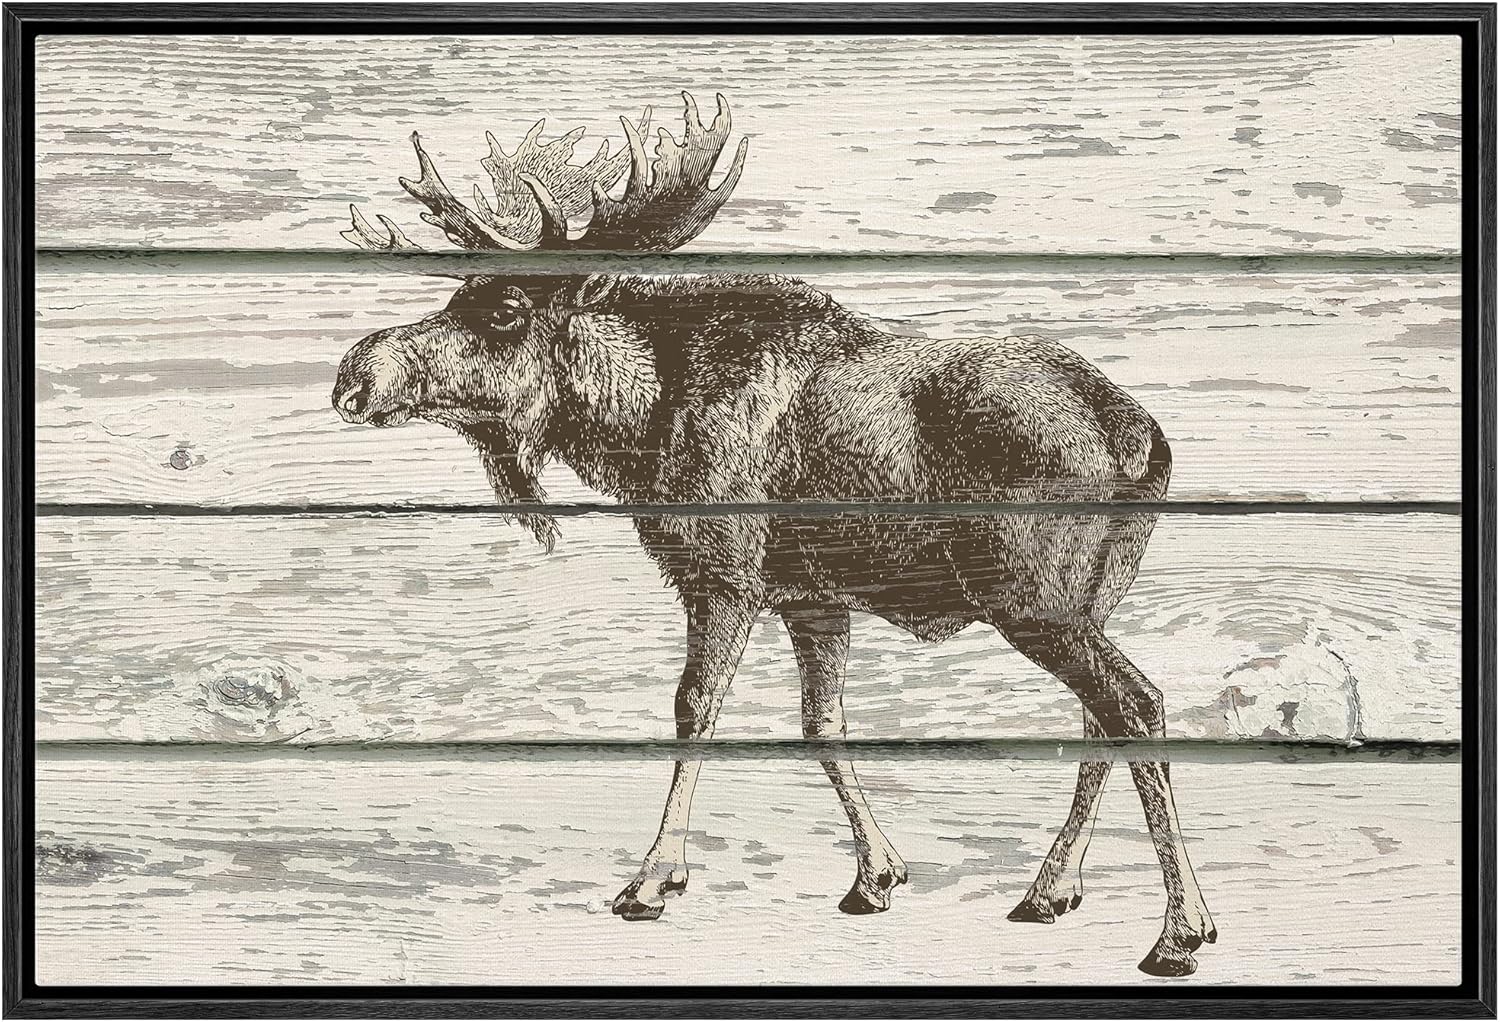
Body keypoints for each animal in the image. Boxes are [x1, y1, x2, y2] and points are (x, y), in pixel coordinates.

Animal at [332, 93, 1217, 976]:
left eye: (506, 310)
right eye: (459, 294)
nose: (354, 375)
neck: (639, 422)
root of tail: (1141, 436)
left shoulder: (723, 576)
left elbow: (695, 708)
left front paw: (652, 880)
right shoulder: (811, 600)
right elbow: (823, 725)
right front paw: (876, 875)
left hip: (1033, 599)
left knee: (1137, 703)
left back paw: (1180, 929)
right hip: (1089, 598)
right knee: (1099, 716)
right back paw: (1049, 890)